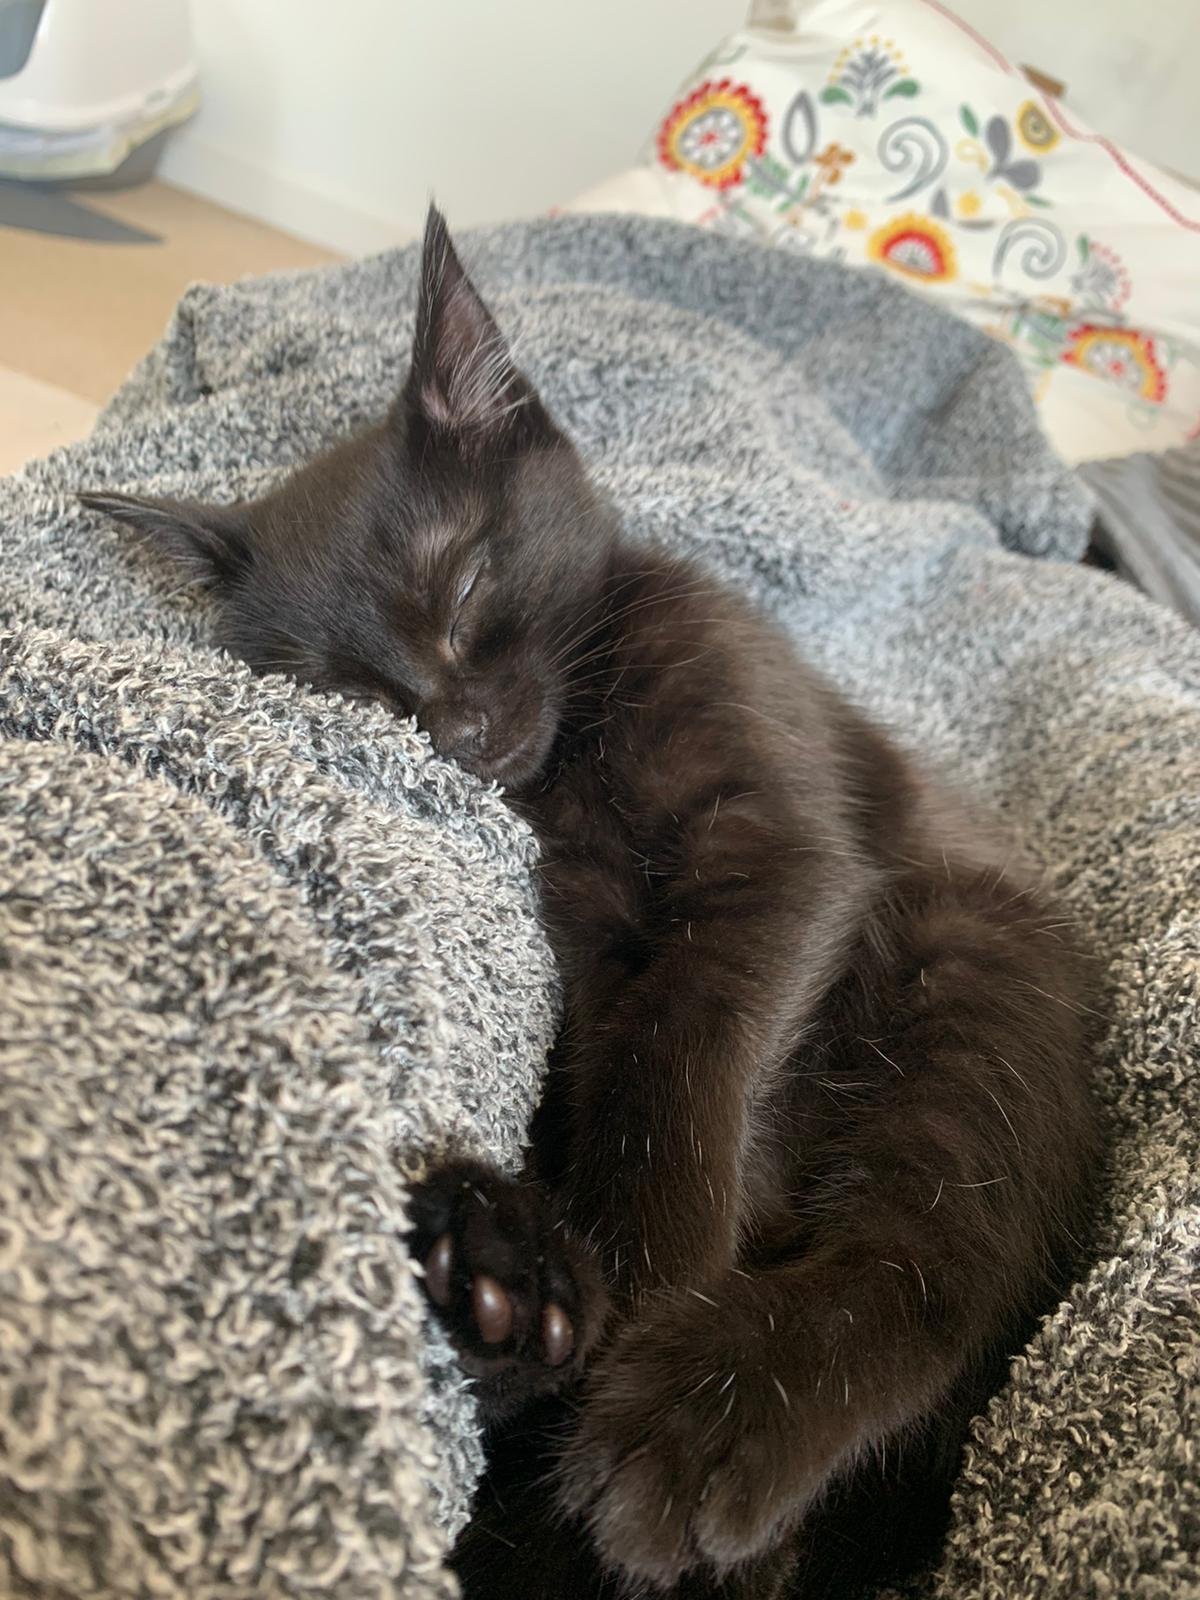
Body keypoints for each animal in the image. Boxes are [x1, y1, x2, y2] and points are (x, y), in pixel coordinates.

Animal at [82, 206, 1098, 1599]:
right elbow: (627, 1054)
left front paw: (654, 1275)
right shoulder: (590, 929)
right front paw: (593, 1277)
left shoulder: (774, 837)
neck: (576, 753)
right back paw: (501, 1273)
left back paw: (688, 1421)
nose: (457, 729)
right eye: (350, 689)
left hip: (973, 986)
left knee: (918, 1267)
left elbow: (687, 1054)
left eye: (465, 588)